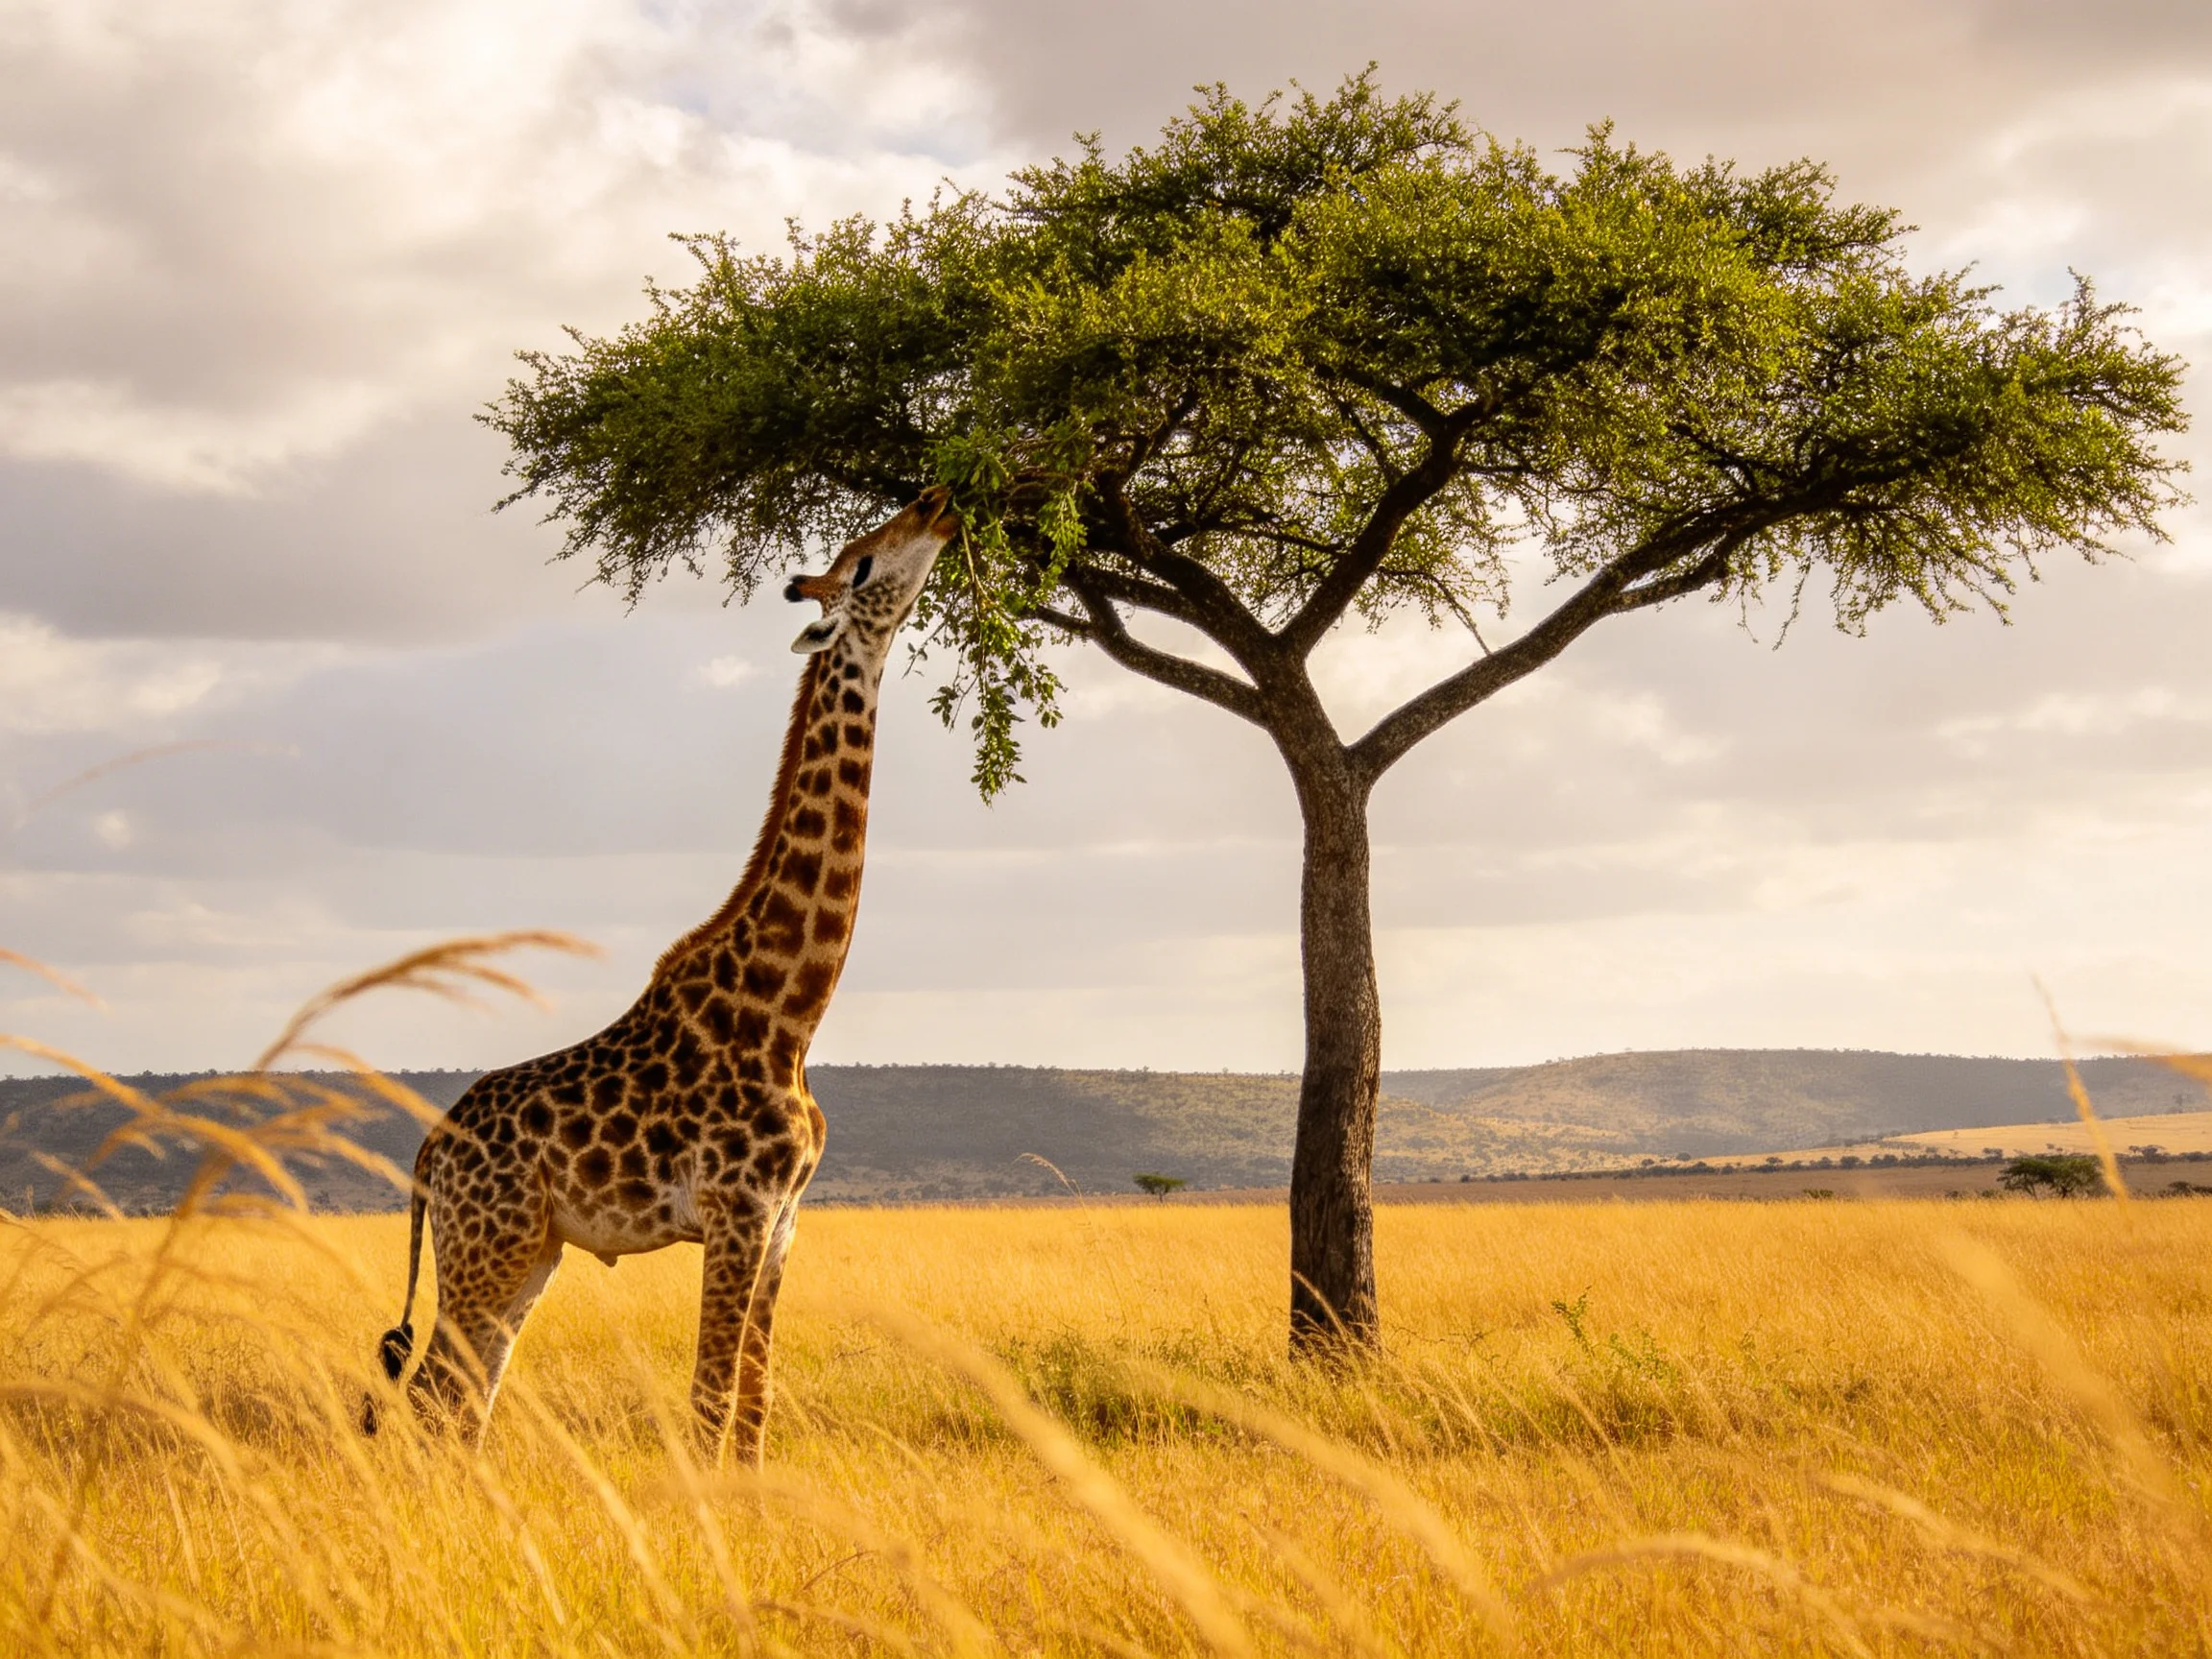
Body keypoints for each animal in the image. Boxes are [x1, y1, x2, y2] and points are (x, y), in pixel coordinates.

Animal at [369, 488, 959, 1463]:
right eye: (865, 562)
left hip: (529, 1250)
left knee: (465, 1399)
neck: (788, 1013)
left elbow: (753, 1406)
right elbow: (710, 1400)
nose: (939, 502)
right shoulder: (735, 1210)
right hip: (486, 1248)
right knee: (430, 1397)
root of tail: (428, 1151)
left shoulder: (784, 1223)